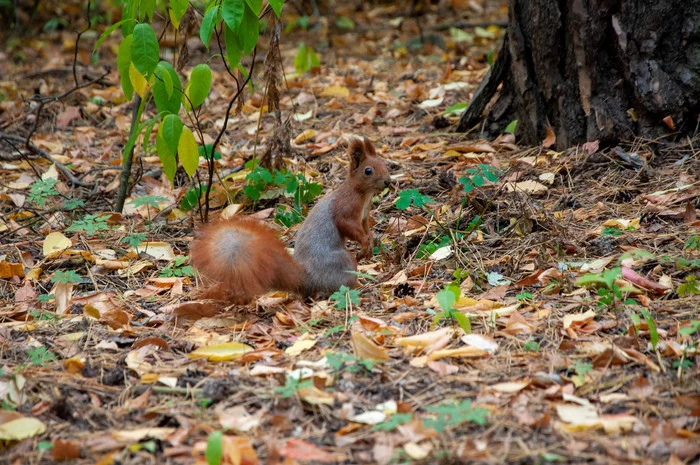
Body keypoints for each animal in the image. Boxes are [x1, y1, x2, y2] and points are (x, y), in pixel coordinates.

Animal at [189, 135, 392, 300]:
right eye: (368, 171)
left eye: (384, 163)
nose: (388, 181)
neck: (363, 195)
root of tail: (307, 280)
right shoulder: (345, 209)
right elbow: (348, 227)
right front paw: (364, 244)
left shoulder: (364, 216)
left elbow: (365, 228)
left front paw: (369, 242)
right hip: (343, 262)